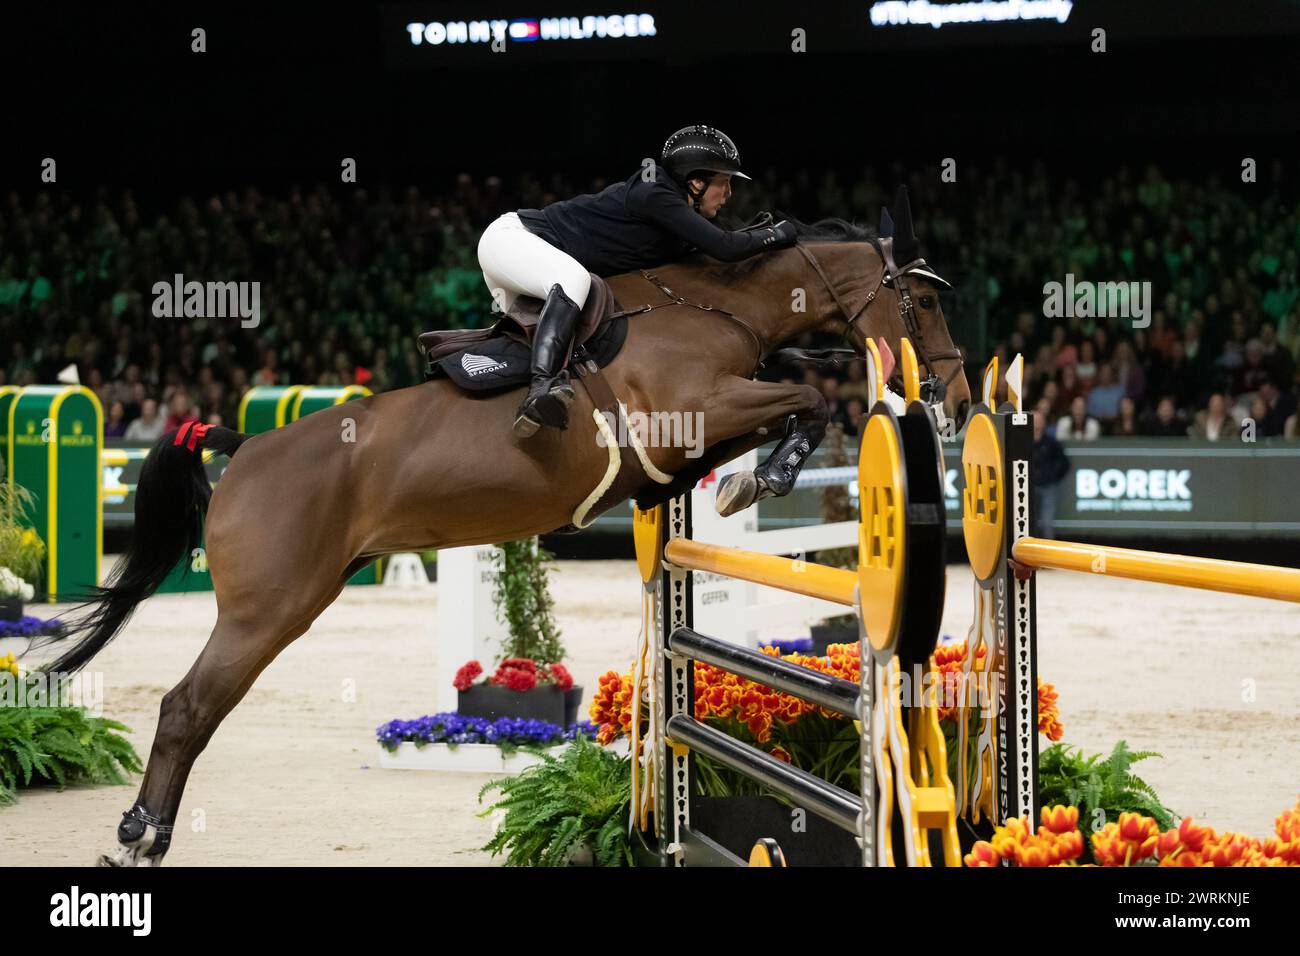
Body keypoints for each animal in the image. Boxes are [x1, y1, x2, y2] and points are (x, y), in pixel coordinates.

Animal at [50, 184, 967, 858]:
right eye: (921, 300)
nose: (955, 402)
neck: (714, 306)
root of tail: (241, 447)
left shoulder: (697, 431)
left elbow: (786, 408)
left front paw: (746, 478)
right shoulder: (695, 409)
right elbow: (805, 396)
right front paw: (763, 477)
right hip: (269, 608)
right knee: (187, 708)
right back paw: (138, 837)